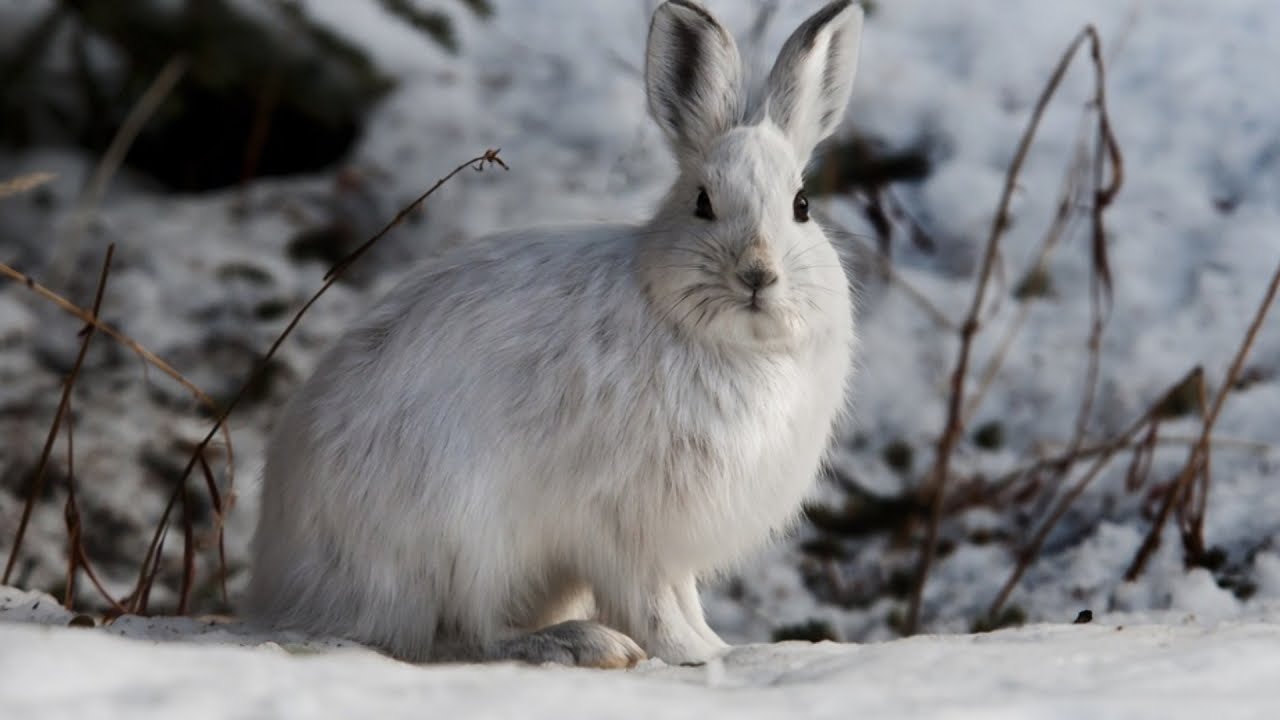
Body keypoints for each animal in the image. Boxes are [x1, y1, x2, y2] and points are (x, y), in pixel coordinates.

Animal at [247, 0, 863, 668]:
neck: (730, 343)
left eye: (802, 206)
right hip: (463, 538)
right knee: (467, 635)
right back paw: (581, 643)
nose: (757, 274)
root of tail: (290, 585)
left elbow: (683, 597)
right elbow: (652, 601)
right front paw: (690, 654)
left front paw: (716, 647)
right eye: (703, 203)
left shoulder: (666, 542)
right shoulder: (626, 524)